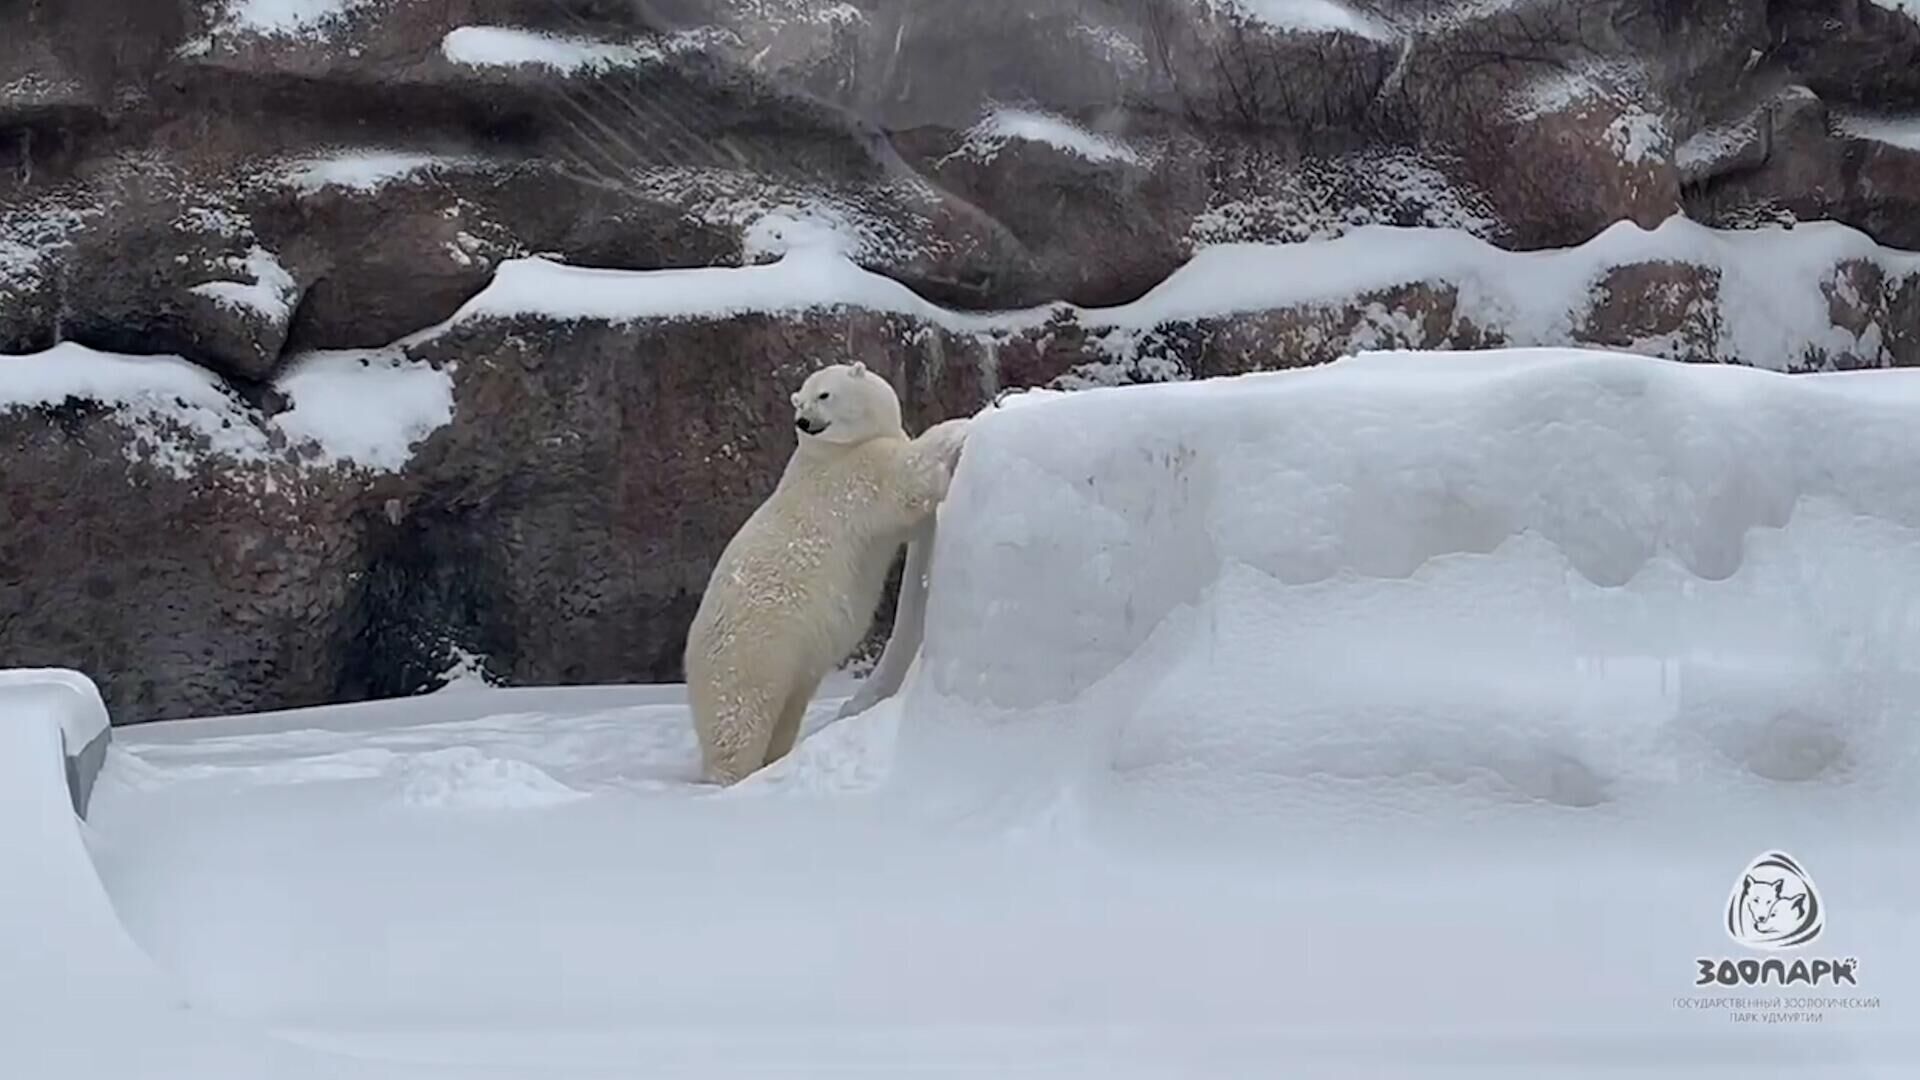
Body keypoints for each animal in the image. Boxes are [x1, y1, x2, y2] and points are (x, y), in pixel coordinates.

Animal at [683, 361, 967, 780]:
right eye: (800, 401)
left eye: (823, 394)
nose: (803, 421)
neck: (828, 452)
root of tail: (689, 658)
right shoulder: (850, 475)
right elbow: (903, 477)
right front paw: (958, 426)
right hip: (749, 653)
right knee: (738, 719)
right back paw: (734, 775)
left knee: (786, 712)